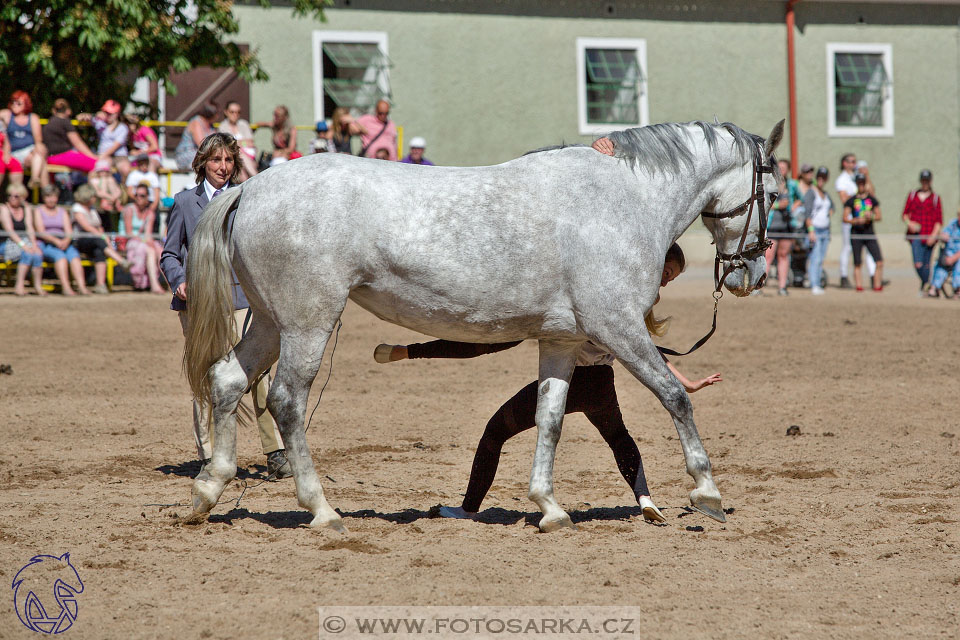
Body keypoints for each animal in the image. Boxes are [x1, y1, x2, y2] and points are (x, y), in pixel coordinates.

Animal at [184, 117, 784, 532]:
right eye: (775, 194)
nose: (753, 273)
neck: (621, 201)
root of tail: (250, 187)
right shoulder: (618, 327)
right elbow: (674, 397)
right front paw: (706, 491)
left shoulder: (562, 340)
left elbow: (550, 419)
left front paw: (549, 507)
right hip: (307, 324)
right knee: (286, 400)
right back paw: (322, 510)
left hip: (268, 321)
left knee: (227, 381)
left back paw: (207, 494)